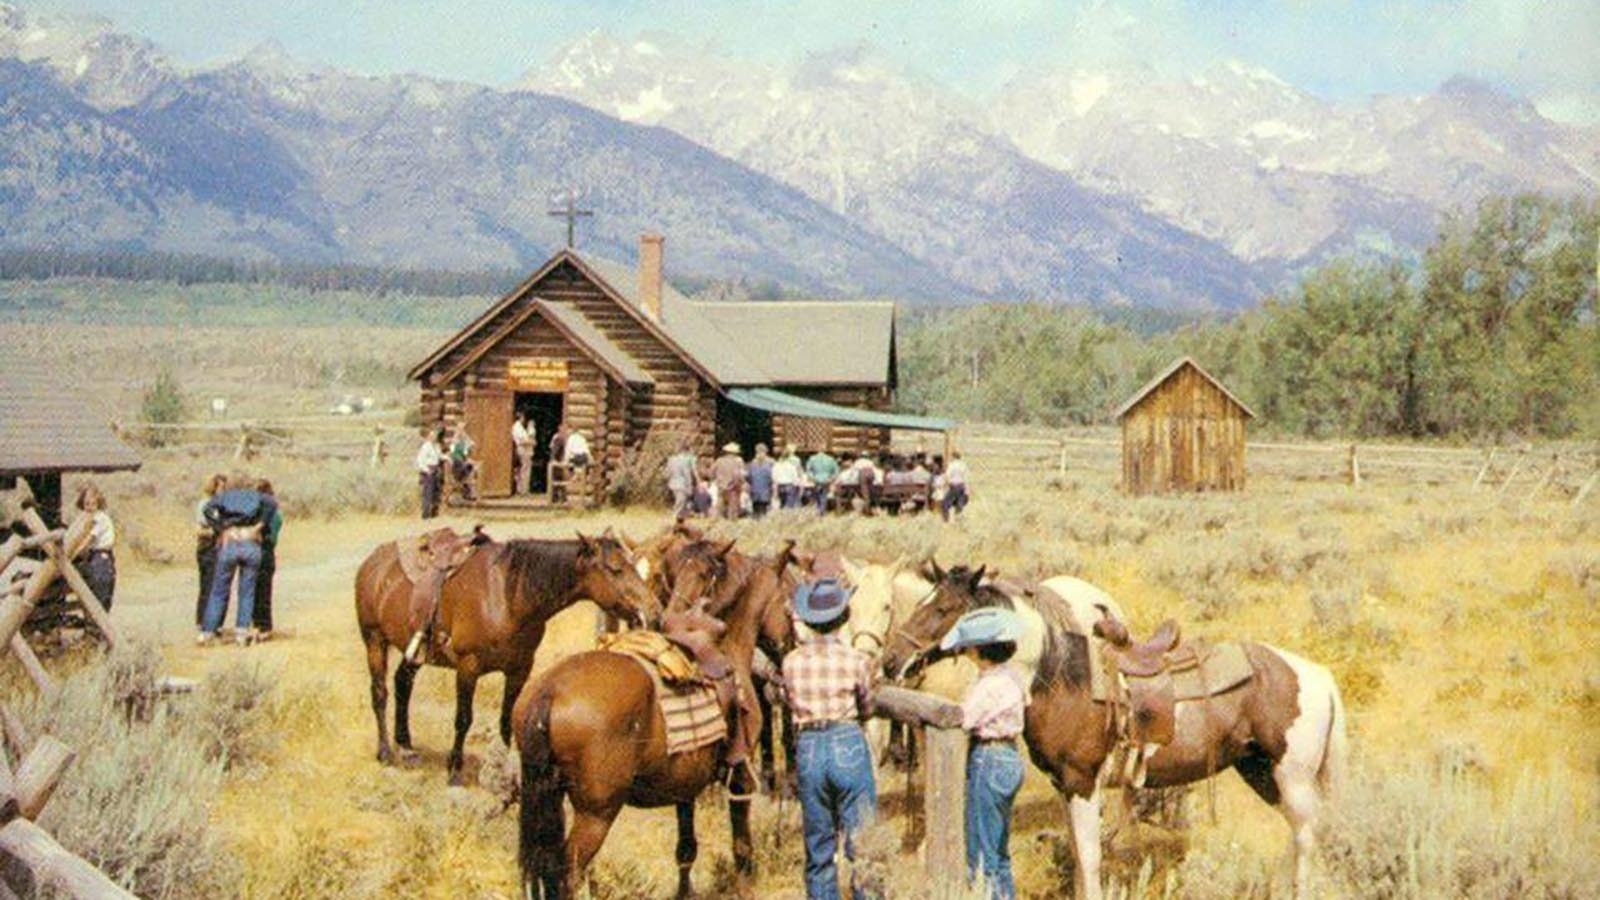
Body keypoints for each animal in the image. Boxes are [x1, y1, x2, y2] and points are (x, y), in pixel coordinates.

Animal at [355, 528, 656, 781]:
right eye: (616, 569)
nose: (650, 609)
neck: (507, 596)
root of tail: (372, 562)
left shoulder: (519, 669)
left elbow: (506, 719)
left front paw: (504, 772)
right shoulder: (468, 666)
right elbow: (463, 718)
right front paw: (455, 770)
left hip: (415, 652)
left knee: (402, 685)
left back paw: (406, 748)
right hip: (374, 641)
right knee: (380, 693)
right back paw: (386, 752)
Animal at [515, 538, 796, 896]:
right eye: (788, 600)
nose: (789, 646)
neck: (728, 649)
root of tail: (550, 691)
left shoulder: (685, 786)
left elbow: (686, 849)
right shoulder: (741, 776)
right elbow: (742, 846)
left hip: (548, 796)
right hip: (596, 814)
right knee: (567, 872)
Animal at [883, 560, 1344, 896]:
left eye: (943, 609)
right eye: (922, 601)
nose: (891, 660)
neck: (1062, 678)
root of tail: (1317, 675)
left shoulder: (1083, 782)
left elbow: (1089, 858)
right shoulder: (1065, 785)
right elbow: (1078, 852)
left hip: (1291, 776)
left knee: (1307, 835)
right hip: (1261, 772)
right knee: (1299, 833)